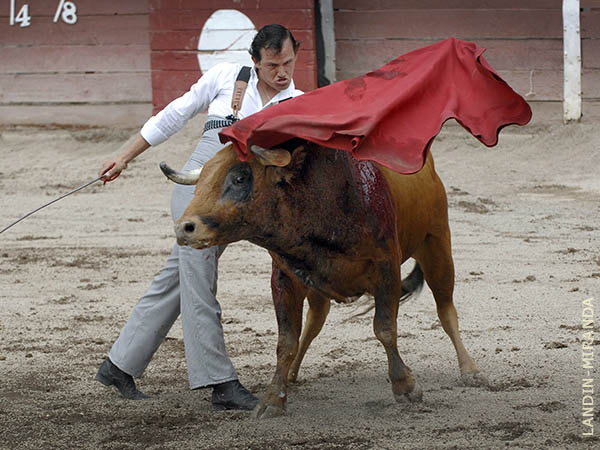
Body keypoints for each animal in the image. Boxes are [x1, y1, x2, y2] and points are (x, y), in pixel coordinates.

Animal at [161, 141, 488, 418]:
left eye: (240, 178)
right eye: (201, 180)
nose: (185, 228)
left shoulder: (387, 270)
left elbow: (385, 329)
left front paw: (405, 387)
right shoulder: (285, 277)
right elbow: (286, 341)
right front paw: (273, 398)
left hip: (437, 246)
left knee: (446, 310)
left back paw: (470, 370)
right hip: (318, 289)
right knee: (314, 322)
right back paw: (293, 373)